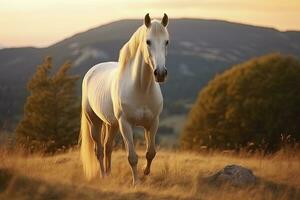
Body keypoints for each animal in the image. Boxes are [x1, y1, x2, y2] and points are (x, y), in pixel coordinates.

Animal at [79, 13, 169, 186]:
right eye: (148, 41)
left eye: (166, 41)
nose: (160, 73)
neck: (140, 88)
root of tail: (92, 71)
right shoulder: (125, 124)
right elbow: (132, 157)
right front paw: (136, 182)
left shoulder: (152, 123)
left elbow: (151, 152)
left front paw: (146, 172)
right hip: (94, 122)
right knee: (99, 150)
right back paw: (103, 175)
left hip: (112, 124)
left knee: (107, 147)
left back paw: (109, 174)